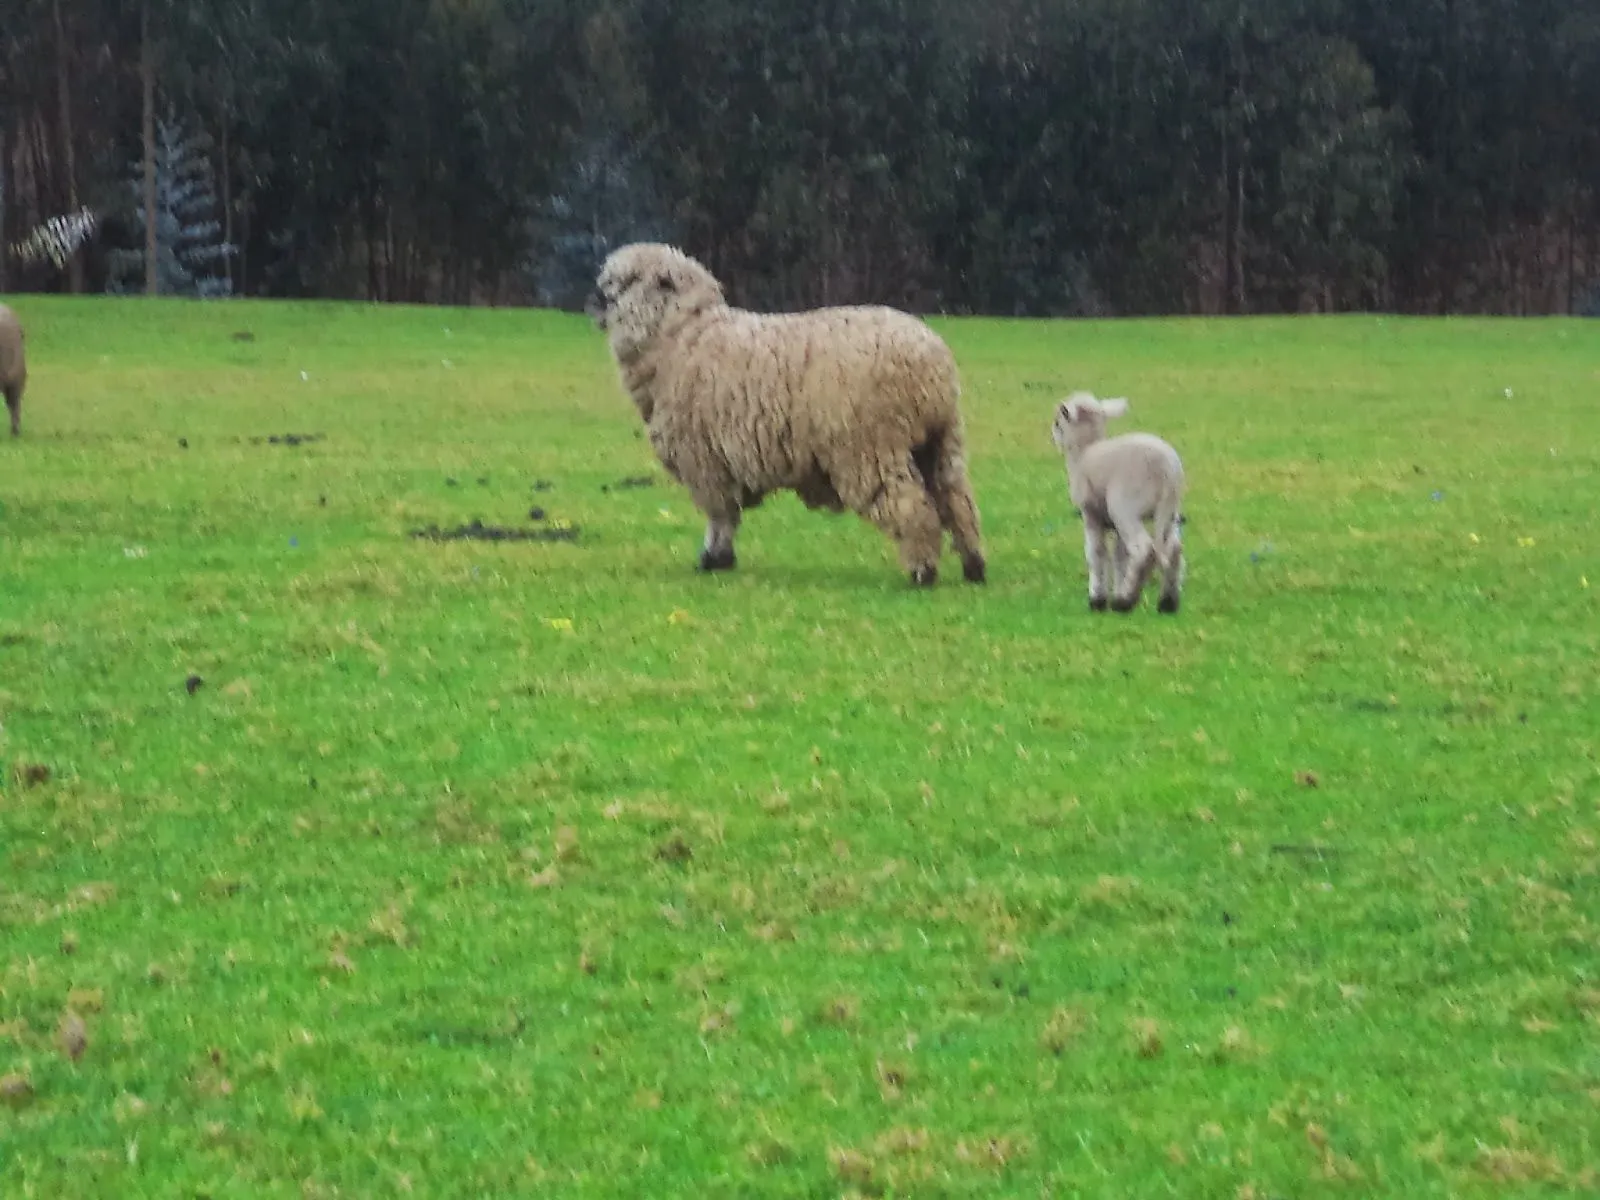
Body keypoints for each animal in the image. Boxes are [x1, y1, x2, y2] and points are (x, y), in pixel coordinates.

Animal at [588, 241, 985, 588]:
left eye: (627, 280)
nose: (594, 301)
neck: (680, 336)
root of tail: (931, 362)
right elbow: (727, 514)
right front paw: (719, 558)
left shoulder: (705, 461)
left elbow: (720, 515)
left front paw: (714, 559)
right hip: (941, 442)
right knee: (957, 502)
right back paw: (974, 567)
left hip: (870, 448)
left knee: (913, 506)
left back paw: (923, 571)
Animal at [1049, 395, 1190, 614]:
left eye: (1057, 422)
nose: (1052, 436)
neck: (1084, 453)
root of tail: (1166, 468)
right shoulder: (1114, 525)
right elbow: (1120, 557)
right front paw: (1117, 588)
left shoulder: (1091, 514)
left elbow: (1096, 552)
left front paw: (1098, 600)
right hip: (1169, 510)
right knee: (1173, 549)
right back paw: (1167, 603)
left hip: (1125, 506)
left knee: (1143, 549)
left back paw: (1125, 602)